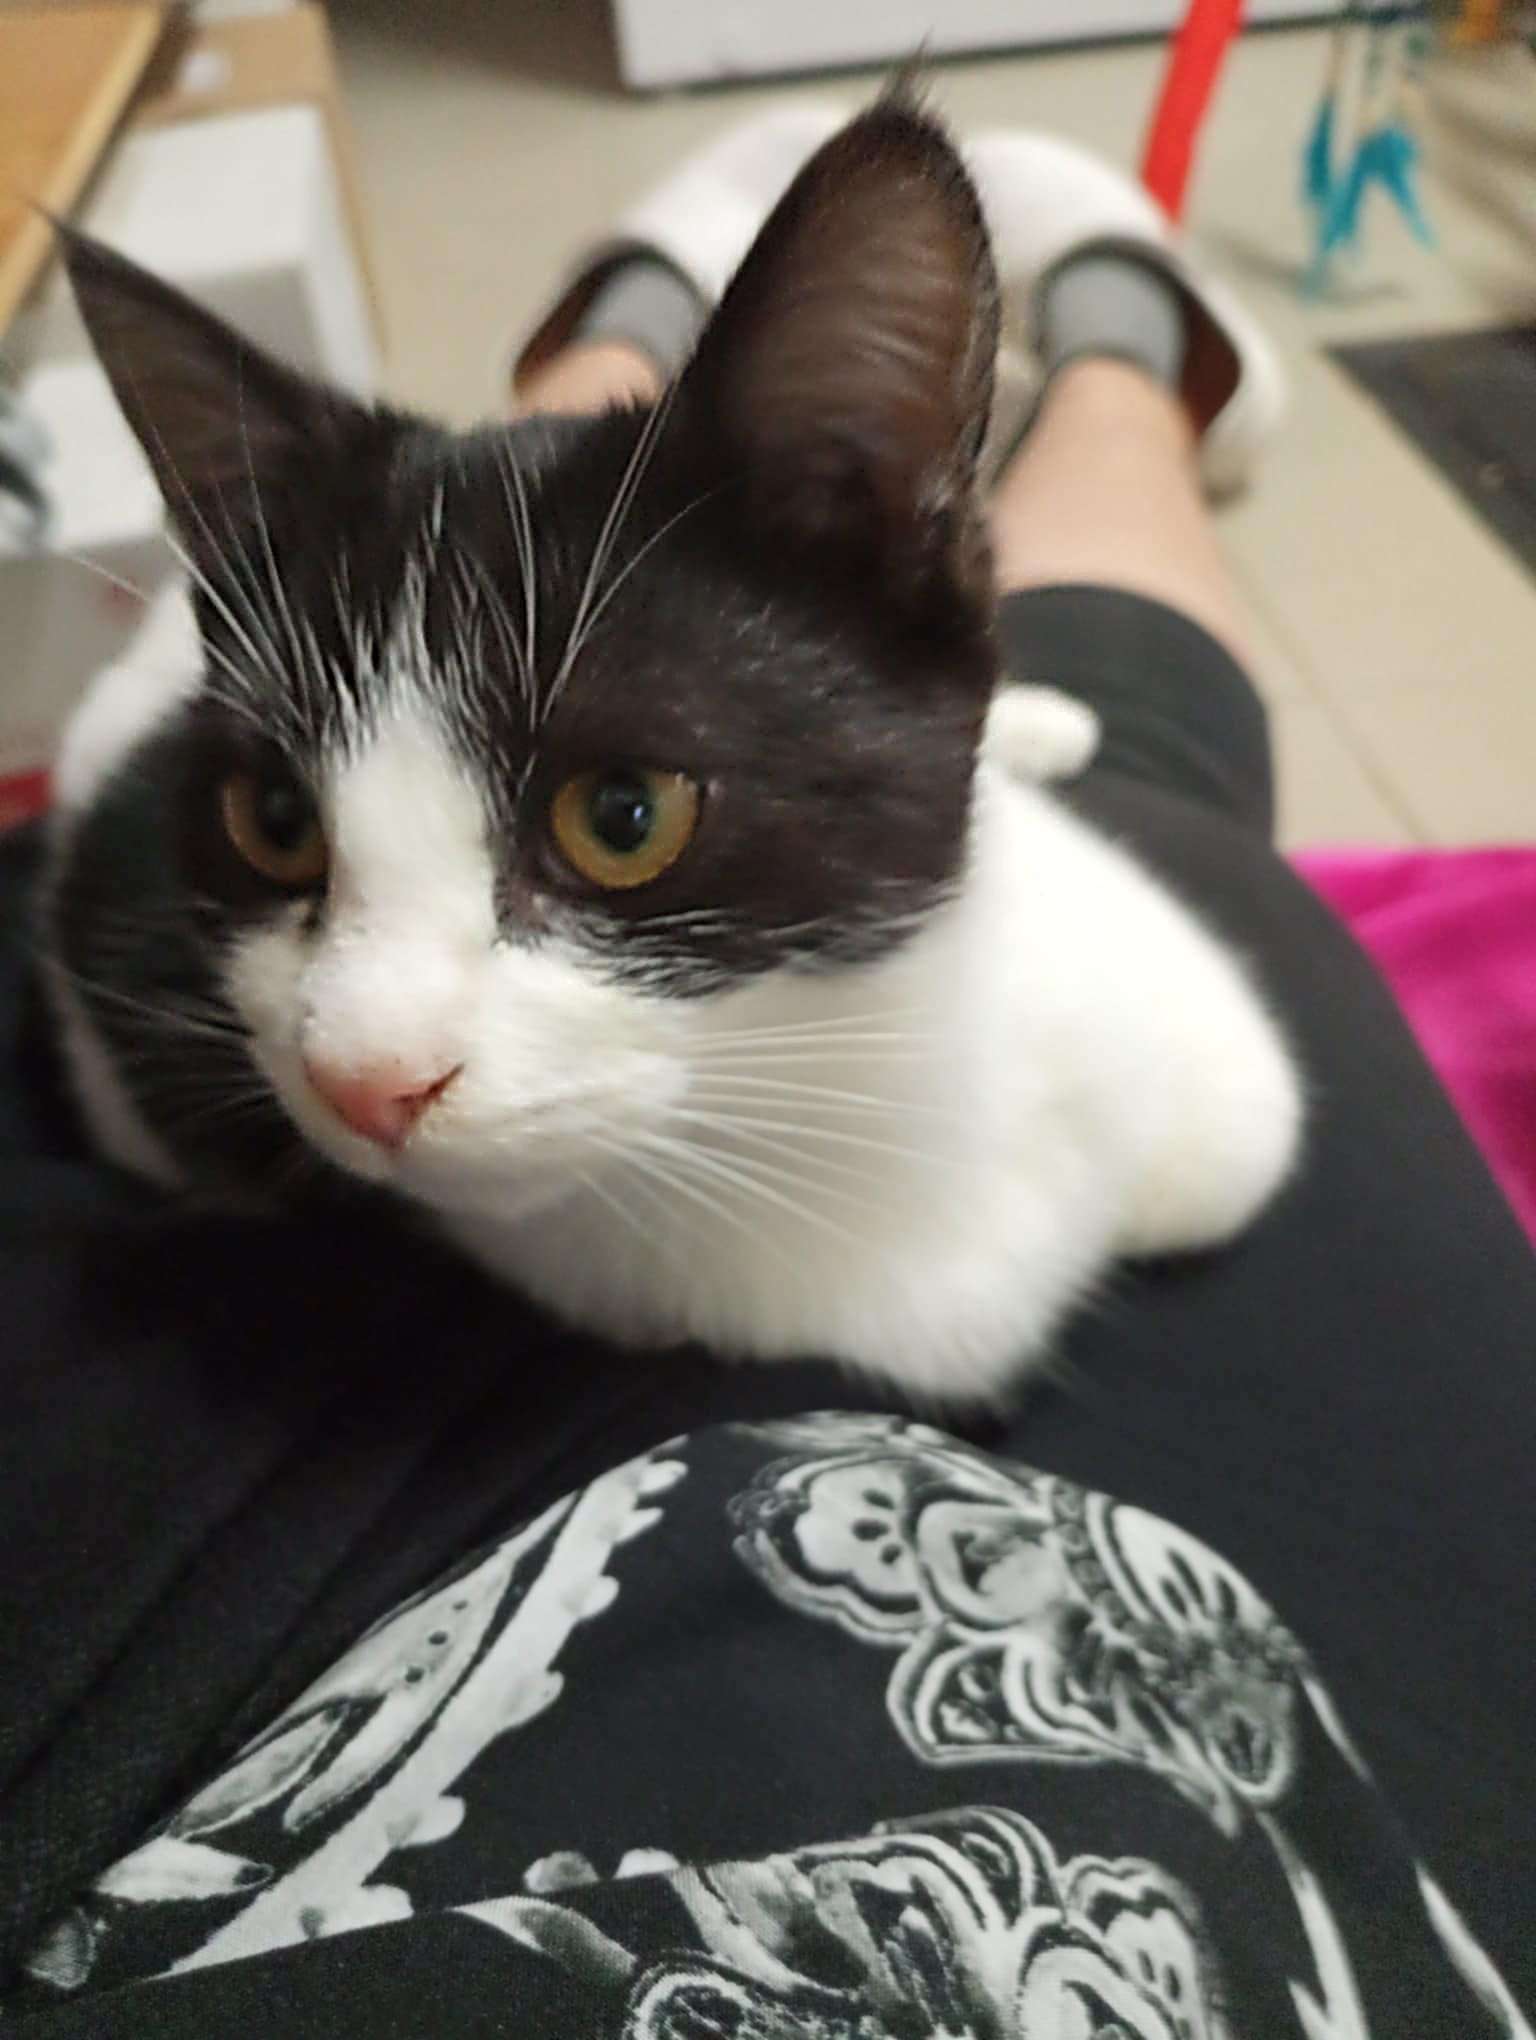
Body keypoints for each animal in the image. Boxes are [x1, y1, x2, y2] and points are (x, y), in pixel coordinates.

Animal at [41, 96, 1302, 1402]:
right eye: (276, 821)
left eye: (623, 815)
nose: (364, 1083)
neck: (840, 1101)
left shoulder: (1206, 1071)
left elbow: (1242, 1144)